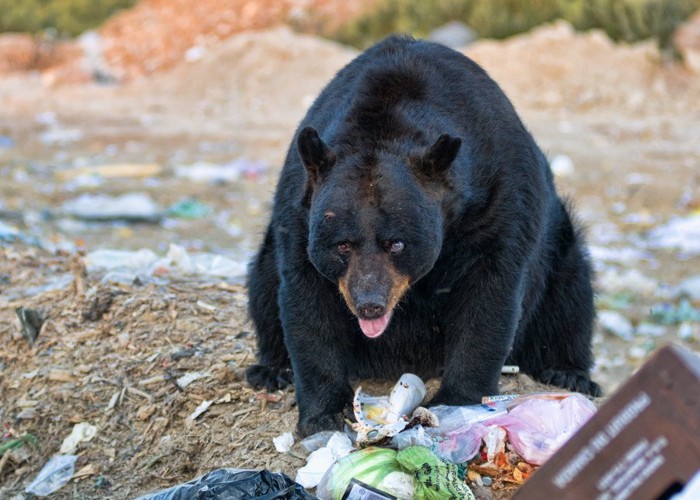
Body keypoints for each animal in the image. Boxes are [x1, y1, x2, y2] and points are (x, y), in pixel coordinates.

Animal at [246, 34, 600, 438]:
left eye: (397, 243)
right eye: (342, 245)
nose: (369, 305)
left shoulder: (497, 199)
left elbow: (489, 296)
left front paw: (456, 400)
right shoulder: (299, 208)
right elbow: (307, 301)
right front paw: (325, 413)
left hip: (559, 246)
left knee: (571, 296)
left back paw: (569, 373)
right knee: (263, 282)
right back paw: (271, 369)